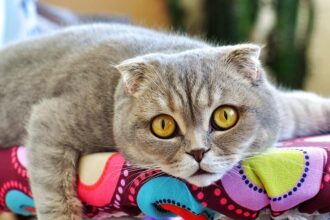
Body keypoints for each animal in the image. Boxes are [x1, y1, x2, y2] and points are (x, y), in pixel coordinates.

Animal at [0, 23, 328, 219]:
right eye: (163, 126)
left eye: (225, 116)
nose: (198, 152)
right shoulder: (50, 121)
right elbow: (55, 194)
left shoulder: (285, 111)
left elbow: (307, 105)